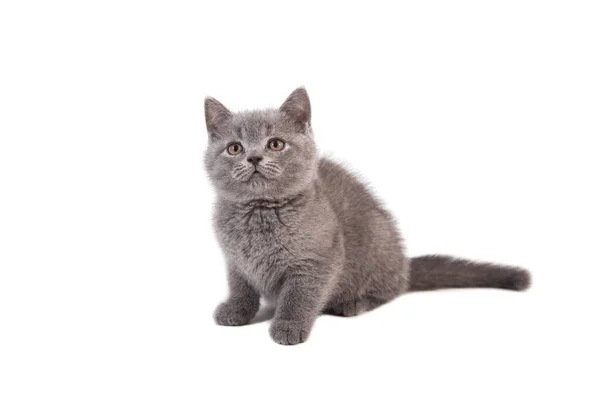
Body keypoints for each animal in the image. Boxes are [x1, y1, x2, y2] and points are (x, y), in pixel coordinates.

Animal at [205, 89, 528, 346]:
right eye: (234, 148)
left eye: (275, 144)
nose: (254, 157)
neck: (259, 212)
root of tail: (404, 265)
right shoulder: (236, 261)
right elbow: (240, 287)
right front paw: (236, 310)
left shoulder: (317, 261)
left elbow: (300, 296)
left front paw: (289, 325)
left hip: (378, 239)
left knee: (389, 290)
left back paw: (353, 303)